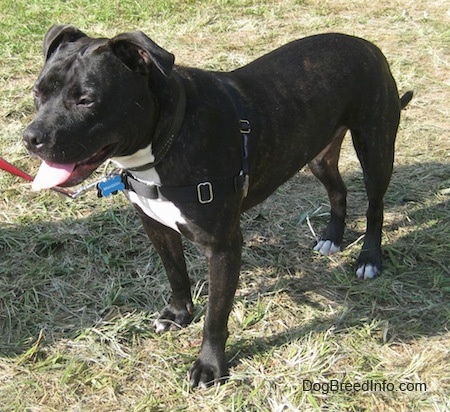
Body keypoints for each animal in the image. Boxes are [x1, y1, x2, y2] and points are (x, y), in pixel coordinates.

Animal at [22, 25, 414, 386]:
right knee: (338, 191)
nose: (30, 138)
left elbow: (216, 315)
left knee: (375, 206)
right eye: (38, 92)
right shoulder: (156, 226)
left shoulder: (222, 246)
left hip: (375, 147)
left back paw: (368, 258)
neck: (167, 137)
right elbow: (176, 273)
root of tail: (364, 43)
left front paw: (210, 366)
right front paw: (178, 314)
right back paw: (332, 236)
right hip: (318, 154)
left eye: (86, 100)